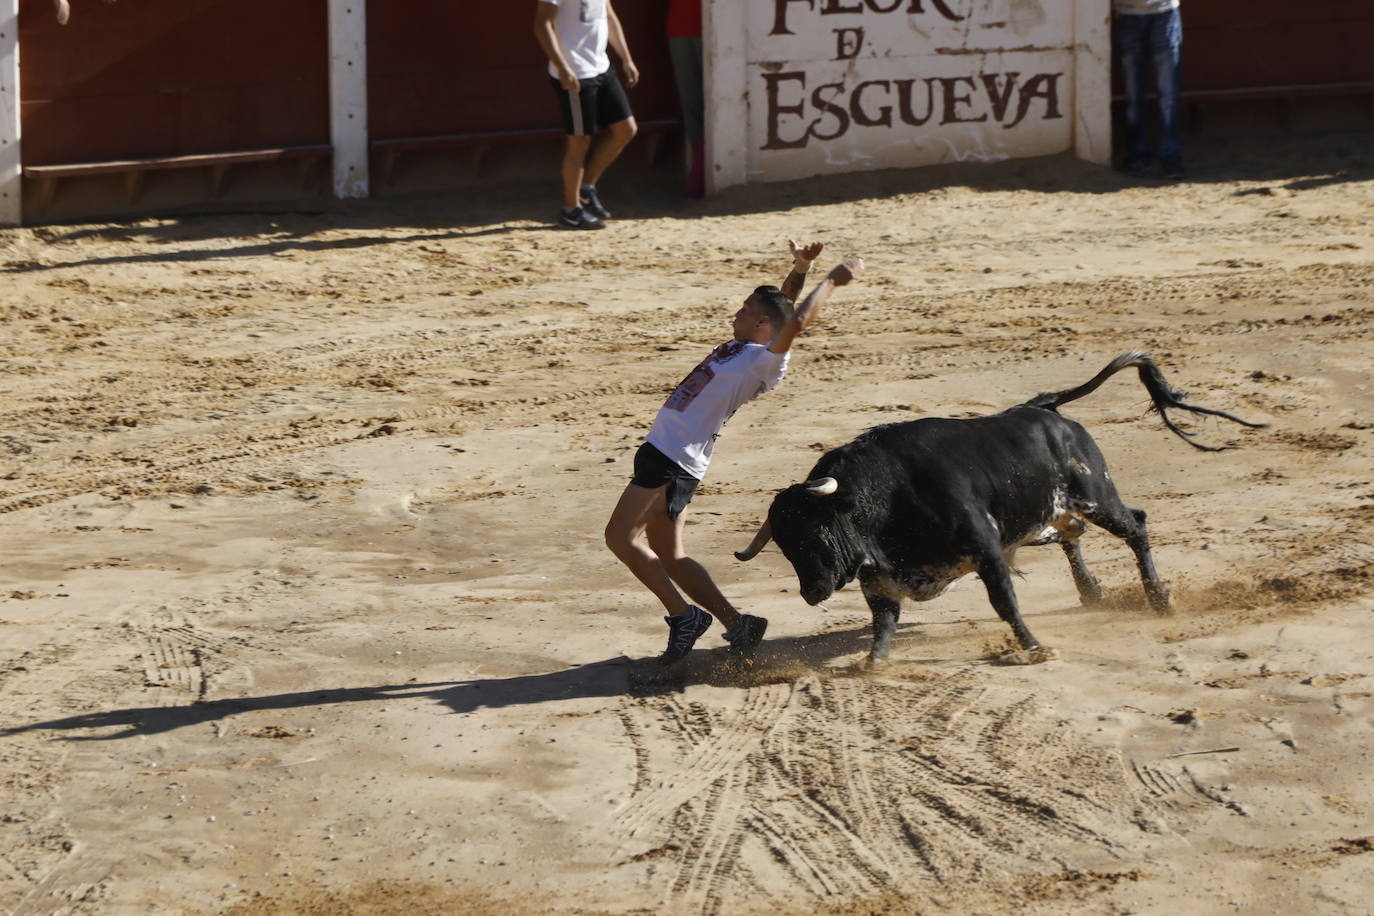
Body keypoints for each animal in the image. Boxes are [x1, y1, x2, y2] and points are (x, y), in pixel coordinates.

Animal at [736, 354, 1258, 667]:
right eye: (785, 545)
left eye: (814, 530)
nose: (811, 593)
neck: (883, 497)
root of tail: (1046, 409)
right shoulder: (879, 575)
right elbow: (883, 620)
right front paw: (873, 663)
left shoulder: (984, 549)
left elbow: (1005, 601)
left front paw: (1033, 647)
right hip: (1044, 514)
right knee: (1072, 536)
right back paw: (1092, 592)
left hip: (1095, 495)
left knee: (1135, 527)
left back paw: (1159, 599)